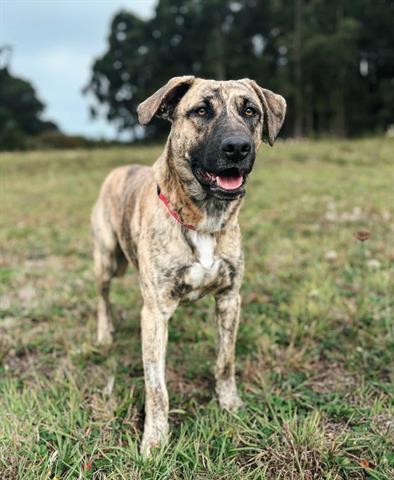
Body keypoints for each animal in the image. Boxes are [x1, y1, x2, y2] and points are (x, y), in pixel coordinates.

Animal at [92, 77, 286, 456]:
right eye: (201, 111)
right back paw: (105, 334)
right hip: (106, 258)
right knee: (103, 297)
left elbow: (225, 361)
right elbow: (156, 388)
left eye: (250, 110)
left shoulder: (229, 298)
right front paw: (154, 441)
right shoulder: (155, 313)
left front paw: (230, 405)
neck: (204, 219)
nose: (237, 148)